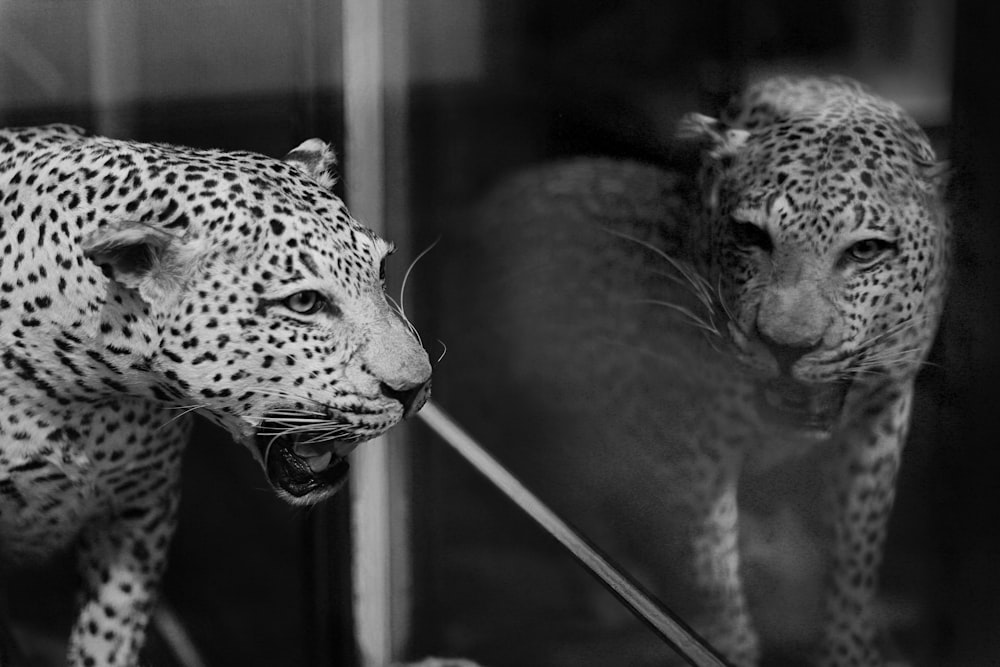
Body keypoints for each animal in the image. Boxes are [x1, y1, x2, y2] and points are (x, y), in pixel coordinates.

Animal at [0, 124, 430, 664]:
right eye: (304, 302)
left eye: (382, 271)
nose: (417, 387)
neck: (85, 398)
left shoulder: (143, 506)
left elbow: (109, 631)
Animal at [440, 74, 952, 667]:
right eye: (752, 237)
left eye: (865, 251)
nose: (786, 346)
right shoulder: (702, 430)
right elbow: (710, 554)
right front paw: (722, 641)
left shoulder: (885, 407)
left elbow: (857, 549)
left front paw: (851, 648)